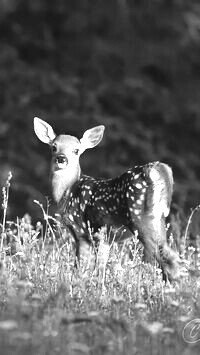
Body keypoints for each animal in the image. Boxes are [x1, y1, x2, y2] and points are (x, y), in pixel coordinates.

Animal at [34, 118, 181, 282]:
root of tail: (156, 169)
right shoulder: (103, 237)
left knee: (169, 259)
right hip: (158, 219)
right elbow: (101, 267)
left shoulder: (81, 231)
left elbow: (80, 267)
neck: (67, 192)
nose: (61, 158)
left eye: (76, 150)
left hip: (141, 218)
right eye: (54, 147)